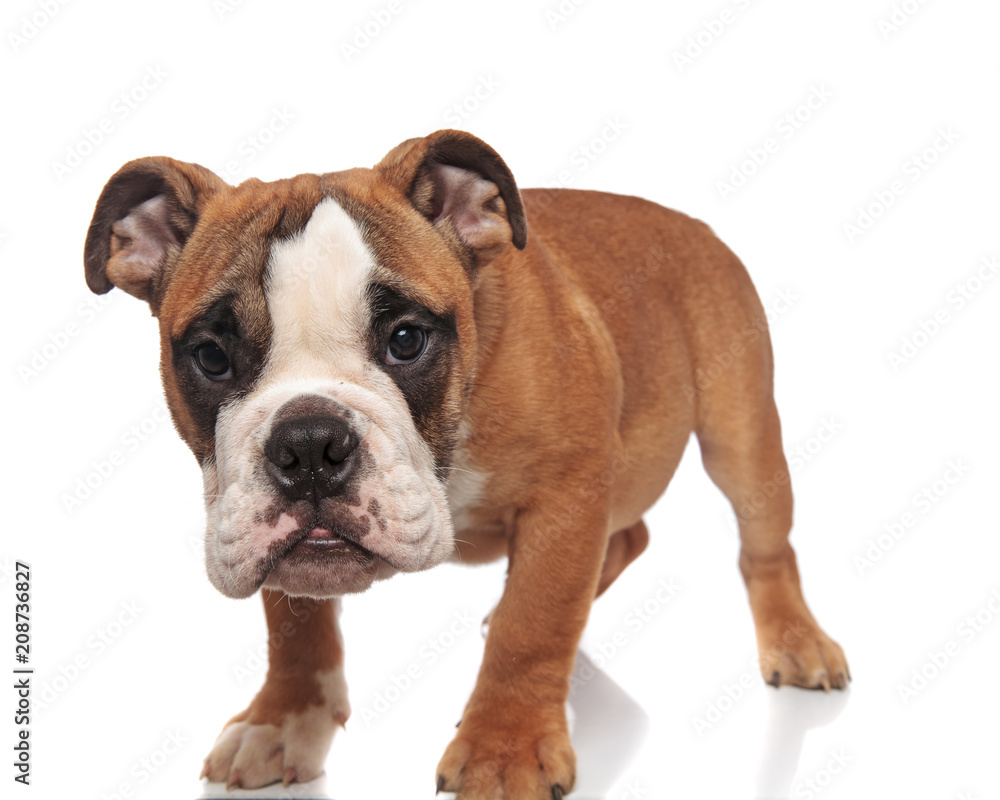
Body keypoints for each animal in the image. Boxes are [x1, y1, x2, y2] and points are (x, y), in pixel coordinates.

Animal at [86, 131, 848, 800]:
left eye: (406, 340)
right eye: (211, 356)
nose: (307, 443)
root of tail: (689, 222)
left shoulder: (566, 496)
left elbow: (533, 624)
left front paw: (503, 751)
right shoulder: (265, 535)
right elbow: (294, 628)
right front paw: (284, 721)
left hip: (741, 437)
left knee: (763, 542)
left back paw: (797, 642)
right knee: (629, 535)